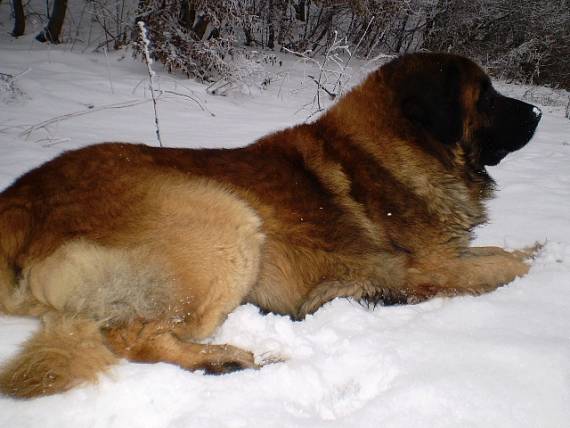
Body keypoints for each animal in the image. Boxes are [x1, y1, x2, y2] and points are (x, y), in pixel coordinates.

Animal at [0, 52, 540, 398]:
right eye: (487, 96)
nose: (538, 111)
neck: (401, 147)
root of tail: (21, 199)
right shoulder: (427, 269)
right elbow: (502, 267)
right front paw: (536, 262)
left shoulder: (449, 254)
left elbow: (497, 253)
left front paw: (532, 247)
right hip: (227, 219)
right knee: (131, 336)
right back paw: (225, 360)